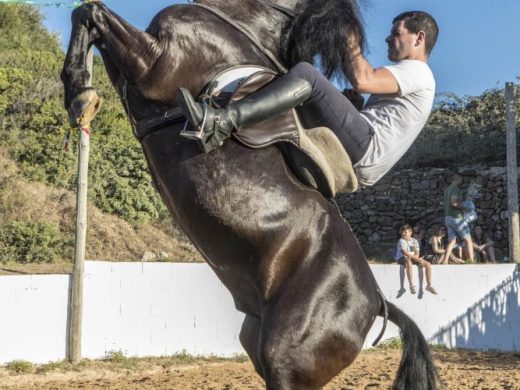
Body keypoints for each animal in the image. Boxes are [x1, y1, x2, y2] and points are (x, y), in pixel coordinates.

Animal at [61, 1, 438, 388]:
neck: (243, 19)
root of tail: (377, 302)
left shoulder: (154, 64)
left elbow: (94, 13)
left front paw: (78, 92)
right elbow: (87, 17)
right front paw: (80, 94)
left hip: (285, 357)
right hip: (258, 341)